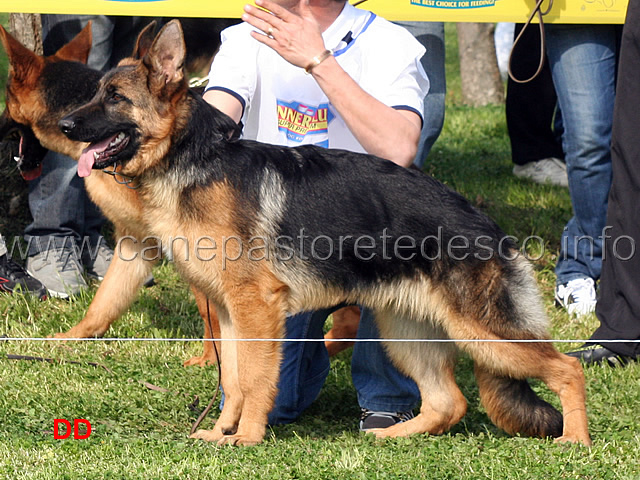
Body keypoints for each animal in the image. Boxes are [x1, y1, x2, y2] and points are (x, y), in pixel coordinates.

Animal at [55, 18, 592, 446]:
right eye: (96, 92)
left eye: (115, 99)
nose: (63, 125)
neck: (196, 159)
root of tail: (488, 226)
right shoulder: (229, 313)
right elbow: (232, 379)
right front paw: (220, 432)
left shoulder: (257, 309)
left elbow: (255, 380)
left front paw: (247, 439)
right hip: (406, 331)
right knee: (448, 402)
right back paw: (391, 436)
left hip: (483, 335)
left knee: (567, 368)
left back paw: (575, 442)